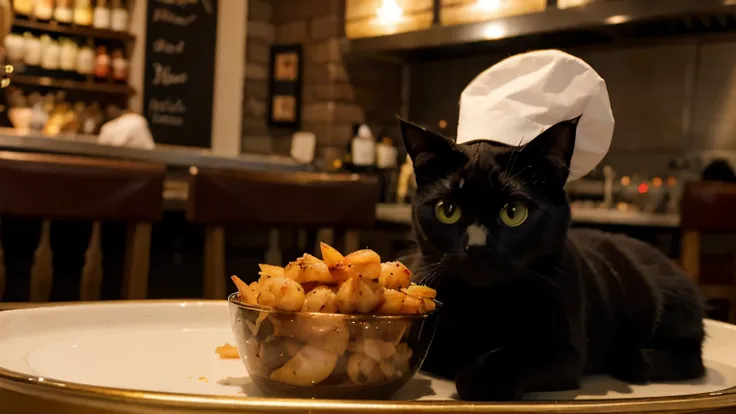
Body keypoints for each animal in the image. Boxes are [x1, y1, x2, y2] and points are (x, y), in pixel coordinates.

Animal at [396, 116, 708, 402]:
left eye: (513, 212)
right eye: (447, 210)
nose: (477, 246)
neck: (482, 305)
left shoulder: (567, 353)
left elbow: (506, 362)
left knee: (692, 358)